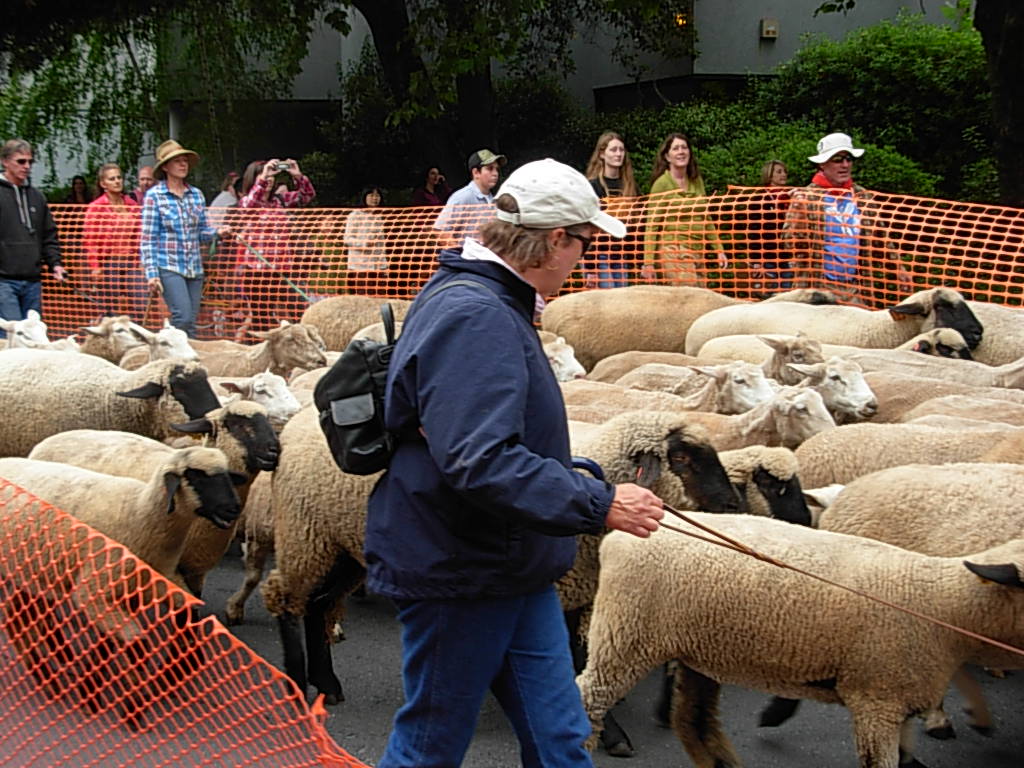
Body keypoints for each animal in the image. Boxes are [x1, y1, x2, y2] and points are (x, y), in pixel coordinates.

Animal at [577, 514, 1024, 768]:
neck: (943, 603)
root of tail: (621, 535)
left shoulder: (895, 699)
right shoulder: (875, 701)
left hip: (694, 648)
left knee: (692, 720)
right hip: (626, 634)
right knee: (588, 699)